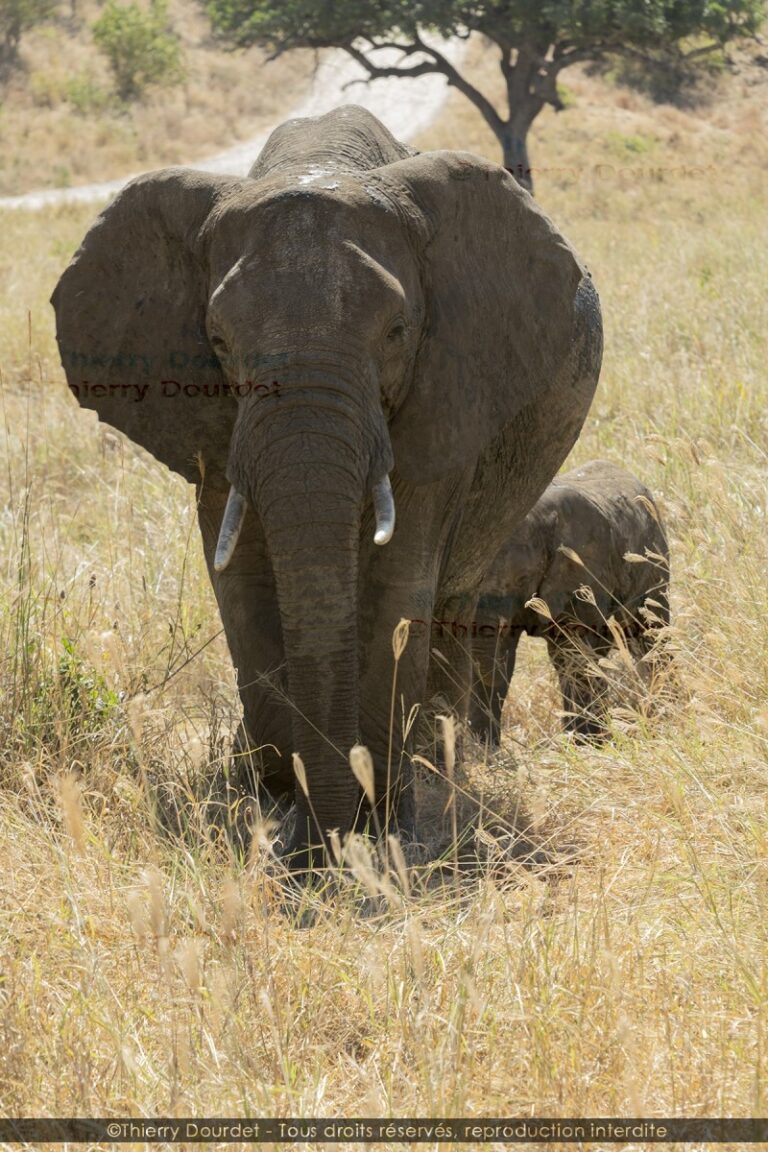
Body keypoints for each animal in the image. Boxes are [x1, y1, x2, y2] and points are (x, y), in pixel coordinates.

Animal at [51, 104, 603, 871]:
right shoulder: (215, 423)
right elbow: (242, 585)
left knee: (452, 602)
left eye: (397, 332)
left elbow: (397, 585)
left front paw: (382, 833)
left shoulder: (448, 385)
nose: (318, 847)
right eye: (218, 341)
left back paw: (438, 771)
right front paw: (278, 818)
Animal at [467, 460, 670, 746]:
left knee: (649, 633)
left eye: (522, 577)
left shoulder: (580, 568)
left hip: (653, 560)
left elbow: (572, 651)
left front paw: (586, 744)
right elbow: (500, 660)